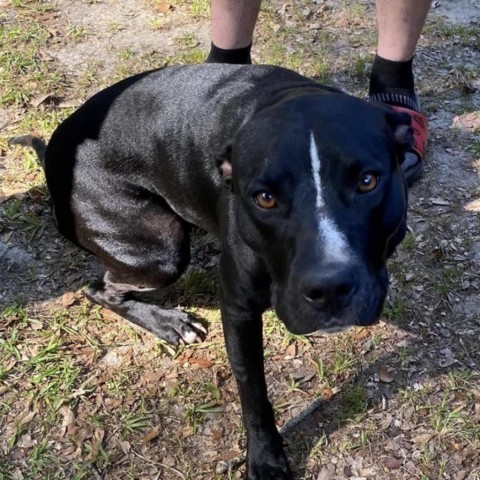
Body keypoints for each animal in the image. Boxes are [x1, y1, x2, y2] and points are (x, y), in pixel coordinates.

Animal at [15, 64, 412, 480]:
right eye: (264, 198)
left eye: (367, 181)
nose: (329, 287)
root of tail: (54, 152)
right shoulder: (238, 311)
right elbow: (253, 391)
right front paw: (266, 459)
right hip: (161, 250)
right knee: (98, 289)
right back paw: (168, 322)